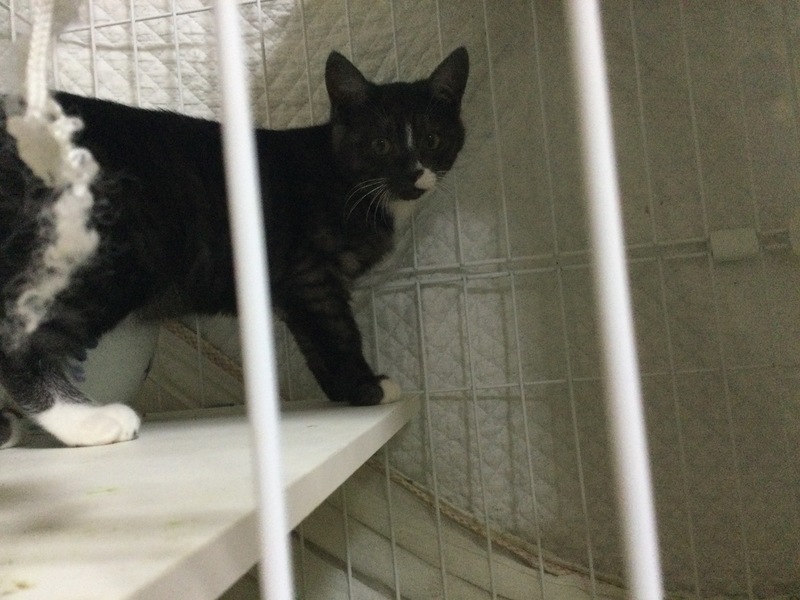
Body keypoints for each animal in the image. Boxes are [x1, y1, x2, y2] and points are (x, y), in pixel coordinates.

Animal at [0, 47, 469, 448]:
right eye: (380, 145)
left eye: (432, 139)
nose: (414, 174)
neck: (348, 179)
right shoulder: (313, 276)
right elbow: (338, 334)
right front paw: (368, 386)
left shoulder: (293, 288)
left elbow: (314, 341)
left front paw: (343, 390)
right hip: (112, 253)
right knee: (18, 338)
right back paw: (87, 422)